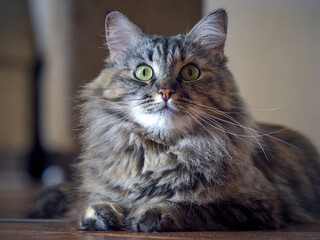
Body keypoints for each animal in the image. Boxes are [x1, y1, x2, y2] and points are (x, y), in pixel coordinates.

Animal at [28, 9, 320, 232]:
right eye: (144, 72)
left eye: (190, 72)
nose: (166, 92)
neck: (158, 153)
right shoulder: (97, 190)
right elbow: (95, 201)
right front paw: (101, 213)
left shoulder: (260, 205)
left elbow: (195, 205)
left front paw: (152, 212)